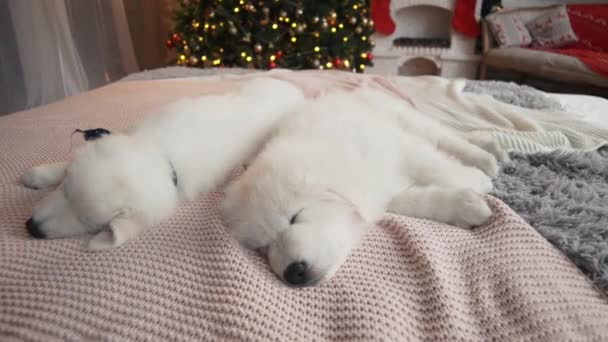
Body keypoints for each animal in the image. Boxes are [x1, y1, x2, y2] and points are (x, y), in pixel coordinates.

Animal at [21, 77, 306, 248]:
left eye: (89, 223)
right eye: (65, 191)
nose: (31, 228)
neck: (156, 150)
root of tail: (296, 91)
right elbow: (64, 165)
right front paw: (37, 175)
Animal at [221, 85, 506, 286]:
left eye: (294, 217)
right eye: (262, 248)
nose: (292, 273)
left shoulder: (401, 149)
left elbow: (438, 168)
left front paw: (476, 183)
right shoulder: (384, 194)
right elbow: (421, 201)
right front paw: (466, 207)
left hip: (405, 118)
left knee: (447, 137)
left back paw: (487, 156)